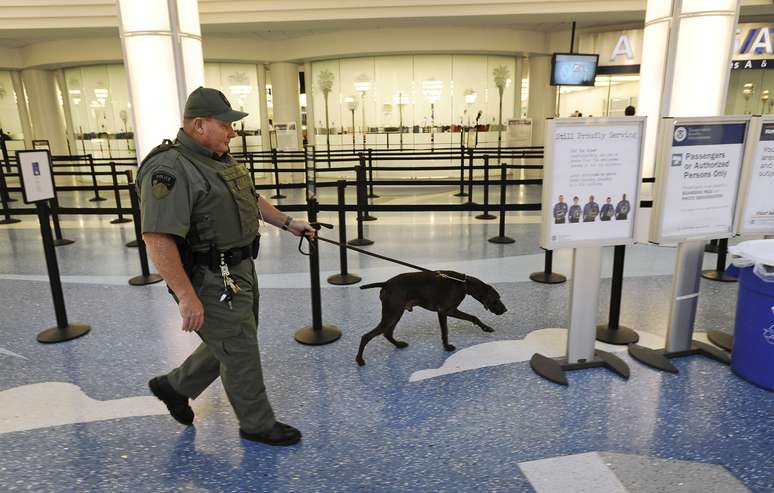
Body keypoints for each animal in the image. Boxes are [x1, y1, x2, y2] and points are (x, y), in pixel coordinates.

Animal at [358, 270, 510, 364]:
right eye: (497, 299)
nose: (505, 310)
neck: (464, 283)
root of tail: (386, 283)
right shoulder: (446, 311)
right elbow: (451, 328)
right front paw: (447, 347)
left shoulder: (446, 312)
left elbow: (470, 319)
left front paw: (486, 328)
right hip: (392, 314)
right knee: (366, 336)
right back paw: (359, 360)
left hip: (394, 315)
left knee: (387, 333)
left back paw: (399, 344)